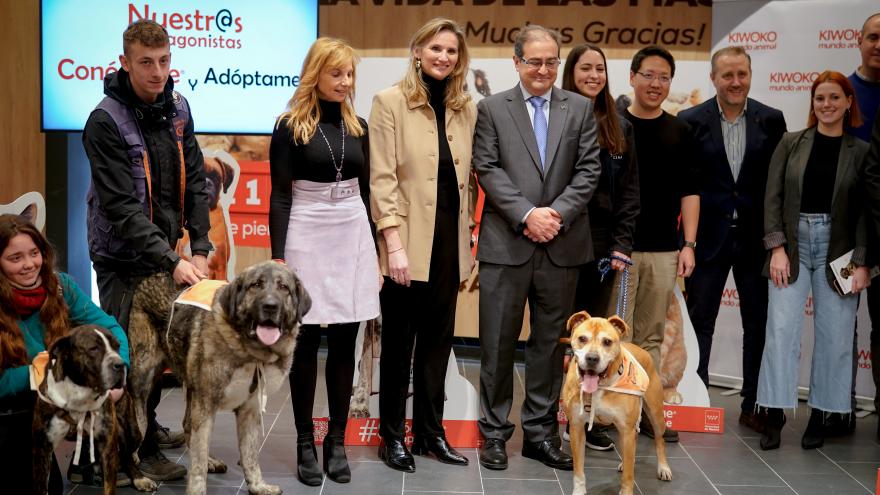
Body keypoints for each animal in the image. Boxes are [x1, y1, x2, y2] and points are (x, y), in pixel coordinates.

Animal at [32, 326, 156, 495]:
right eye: (93, 349)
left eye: (117, 346)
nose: (121, 364)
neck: (79, 395)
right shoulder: (42, 448)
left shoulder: (108, 445)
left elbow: (109, 486)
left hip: (133, 432)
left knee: (127, 455)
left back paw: (139, 478)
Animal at [127, 262, 312, 494]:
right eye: (256, 285)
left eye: (283, 287)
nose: (270, 306)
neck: (249, 350)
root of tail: (151, 277)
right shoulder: (205, 406)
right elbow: (197, 464)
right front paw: (197, 490)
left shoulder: (249, 410)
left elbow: (250, 456)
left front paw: (257, 486)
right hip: (142, 385)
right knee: (135, 438)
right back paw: (139, 478)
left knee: (187, 426)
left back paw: (210, 461)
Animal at [564, 314, 672, 495]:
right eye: (582, 339)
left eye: (607, 342)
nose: (592, 358)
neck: (601, 385)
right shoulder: (577, 428)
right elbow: (578, 470)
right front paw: (579, 491)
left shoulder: (626, 429)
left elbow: (628, 476)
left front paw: (626, 490)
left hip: (655, 415)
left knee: (659, 441)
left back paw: (663, 468)